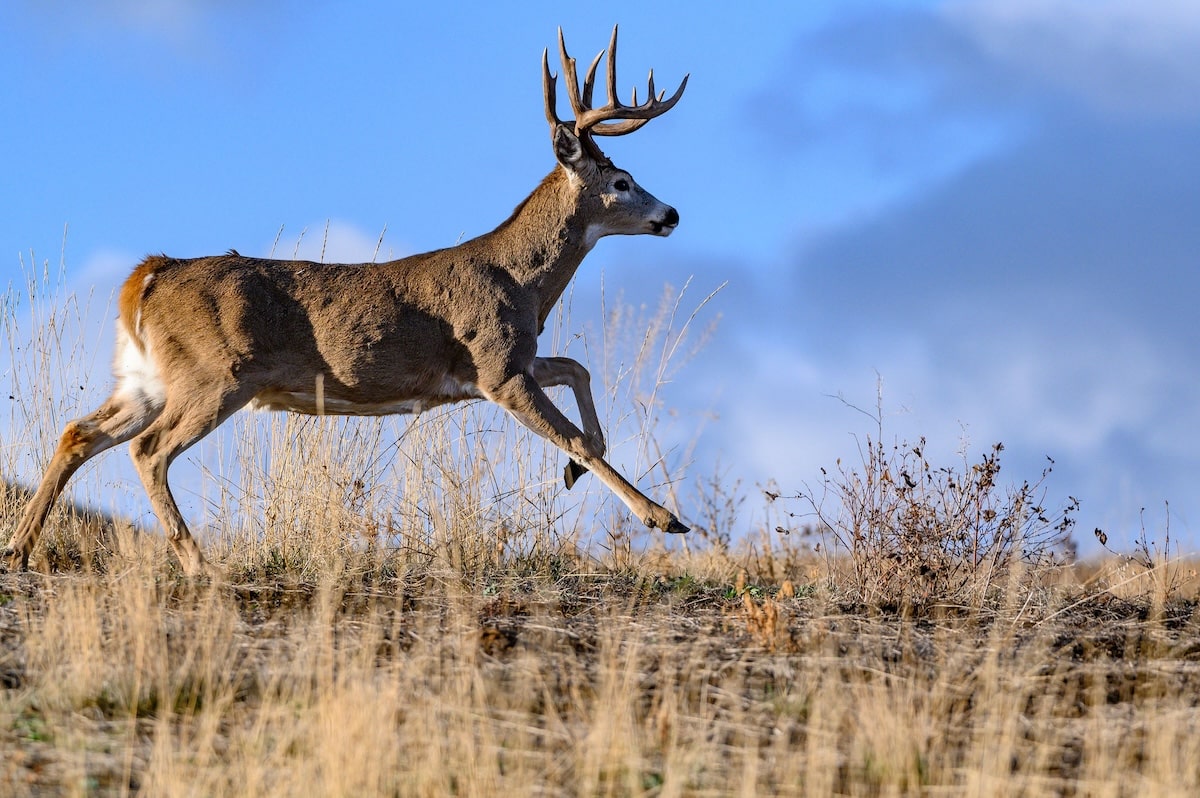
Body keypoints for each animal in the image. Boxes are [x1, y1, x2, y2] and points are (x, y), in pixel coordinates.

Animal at [4, 26, 690, 576]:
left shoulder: (508, 362)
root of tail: (149, 275)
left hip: (146, 377)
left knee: (79, 433)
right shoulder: (496, 366)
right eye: (621, 181)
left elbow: (579, 369)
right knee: (148, 451)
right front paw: (661, 516)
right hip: (214, 374)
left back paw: (20, 547)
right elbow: (572, 433)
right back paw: (199, 563)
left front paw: (583, 473)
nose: (671, 214)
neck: (519, 281)